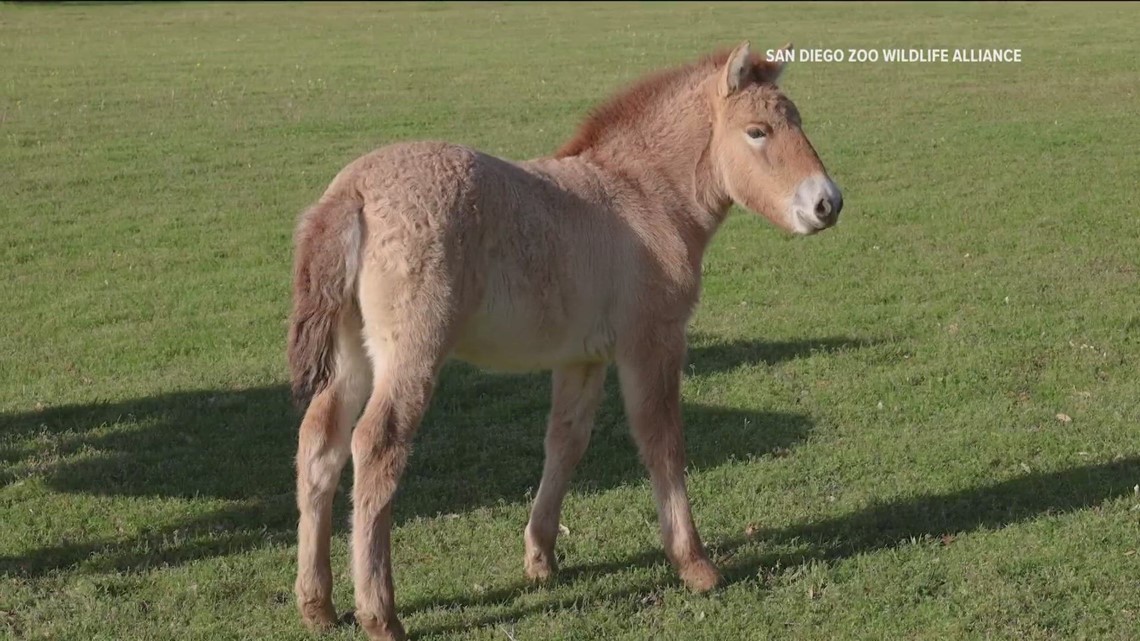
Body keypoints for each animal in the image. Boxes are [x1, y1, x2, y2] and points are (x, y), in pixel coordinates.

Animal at [287, 40, 844, 640]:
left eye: (799, 121)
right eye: (757, 131)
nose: (827, 204)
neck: (642, 195)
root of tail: (353, 190)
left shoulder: (583, 357)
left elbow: (565, 442)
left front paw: (541, 557)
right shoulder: (652, 341)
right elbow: (662, 439)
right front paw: (694, 563)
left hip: (352, 354)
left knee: (320, 442)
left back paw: (317, 604)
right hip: (413, 351)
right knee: (376, 445)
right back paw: (380, 614)